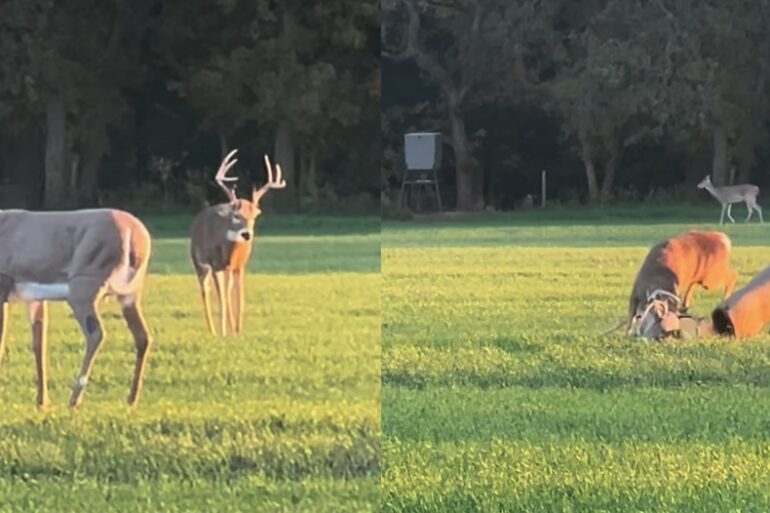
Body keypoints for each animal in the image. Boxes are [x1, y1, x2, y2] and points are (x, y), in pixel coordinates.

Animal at [0, 208, 152, 409]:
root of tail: (134, 233)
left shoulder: (3, 285)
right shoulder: (35, 297)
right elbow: (39, 343)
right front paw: (43, 402)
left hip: (84, 285)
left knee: (96, 334)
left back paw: (74, 400)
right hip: (130, 294)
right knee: (143, 336)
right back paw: (132, 399)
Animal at [190, 149, 286, 336]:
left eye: (255, 215)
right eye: (236, 215)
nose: (247, 234)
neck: (230, 254)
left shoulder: (240, 266)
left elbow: (238, 297)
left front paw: (238, 330)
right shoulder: (215, 264)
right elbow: (221, 298)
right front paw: (223, 331)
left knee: (226, 291)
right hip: (199, 262)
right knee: (205, 291)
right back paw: (212, 330)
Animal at [603, 231, 737, 336]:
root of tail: (723, 238)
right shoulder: (634, 295)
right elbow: (630, 317)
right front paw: (627, 332)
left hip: (710, 278)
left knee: (732, 275)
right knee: (693, 285)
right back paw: (686, 305)